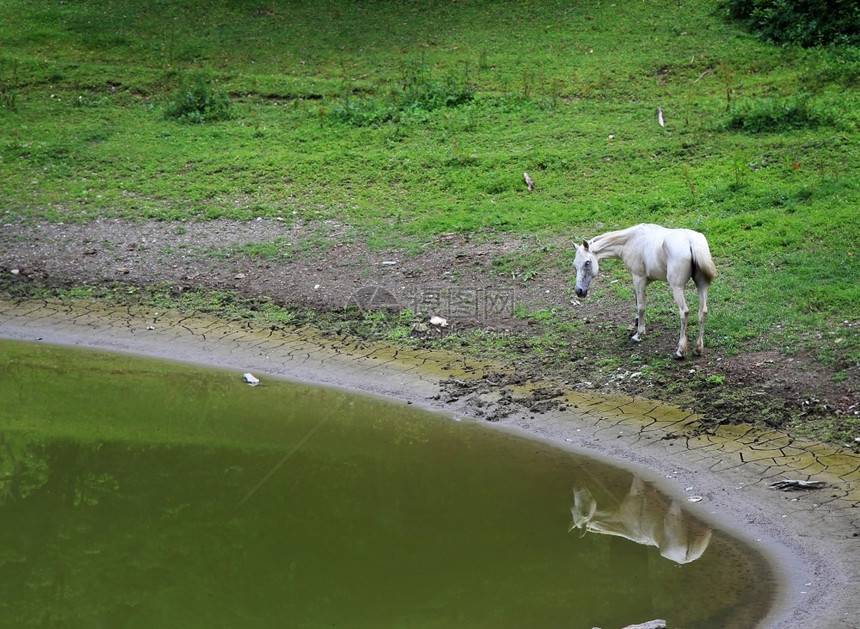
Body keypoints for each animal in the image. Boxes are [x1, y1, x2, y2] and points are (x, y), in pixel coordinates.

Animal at [576, 223, 716, 358]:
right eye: (574, 265)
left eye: (587, 262)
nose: (579, 291)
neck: (631, 240)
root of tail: (690, 241)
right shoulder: (641, 281)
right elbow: (637, 301)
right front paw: (637, 322)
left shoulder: (638, 278)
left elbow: (641, 306)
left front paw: (638, 335)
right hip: (702, 286)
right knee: (702, 312)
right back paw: (698, 349)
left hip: (677, 288)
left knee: (684, 312)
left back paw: (680, 351)